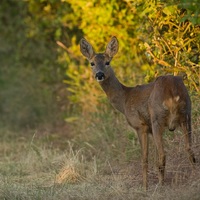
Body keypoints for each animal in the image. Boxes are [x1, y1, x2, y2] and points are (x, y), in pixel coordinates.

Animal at [79, 36, 195, 190]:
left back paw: (160, 187)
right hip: (186, 114)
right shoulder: (151, 128)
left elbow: (145, 158)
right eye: (92, 63)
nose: (99, 74)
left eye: (107, 62)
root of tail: (173, 92)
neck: (125, 99)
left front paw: (145, 187)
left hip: (157, 118)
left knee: (163, 154)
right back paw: (194, 177)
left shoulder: (141, 126)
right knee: (189, 149)